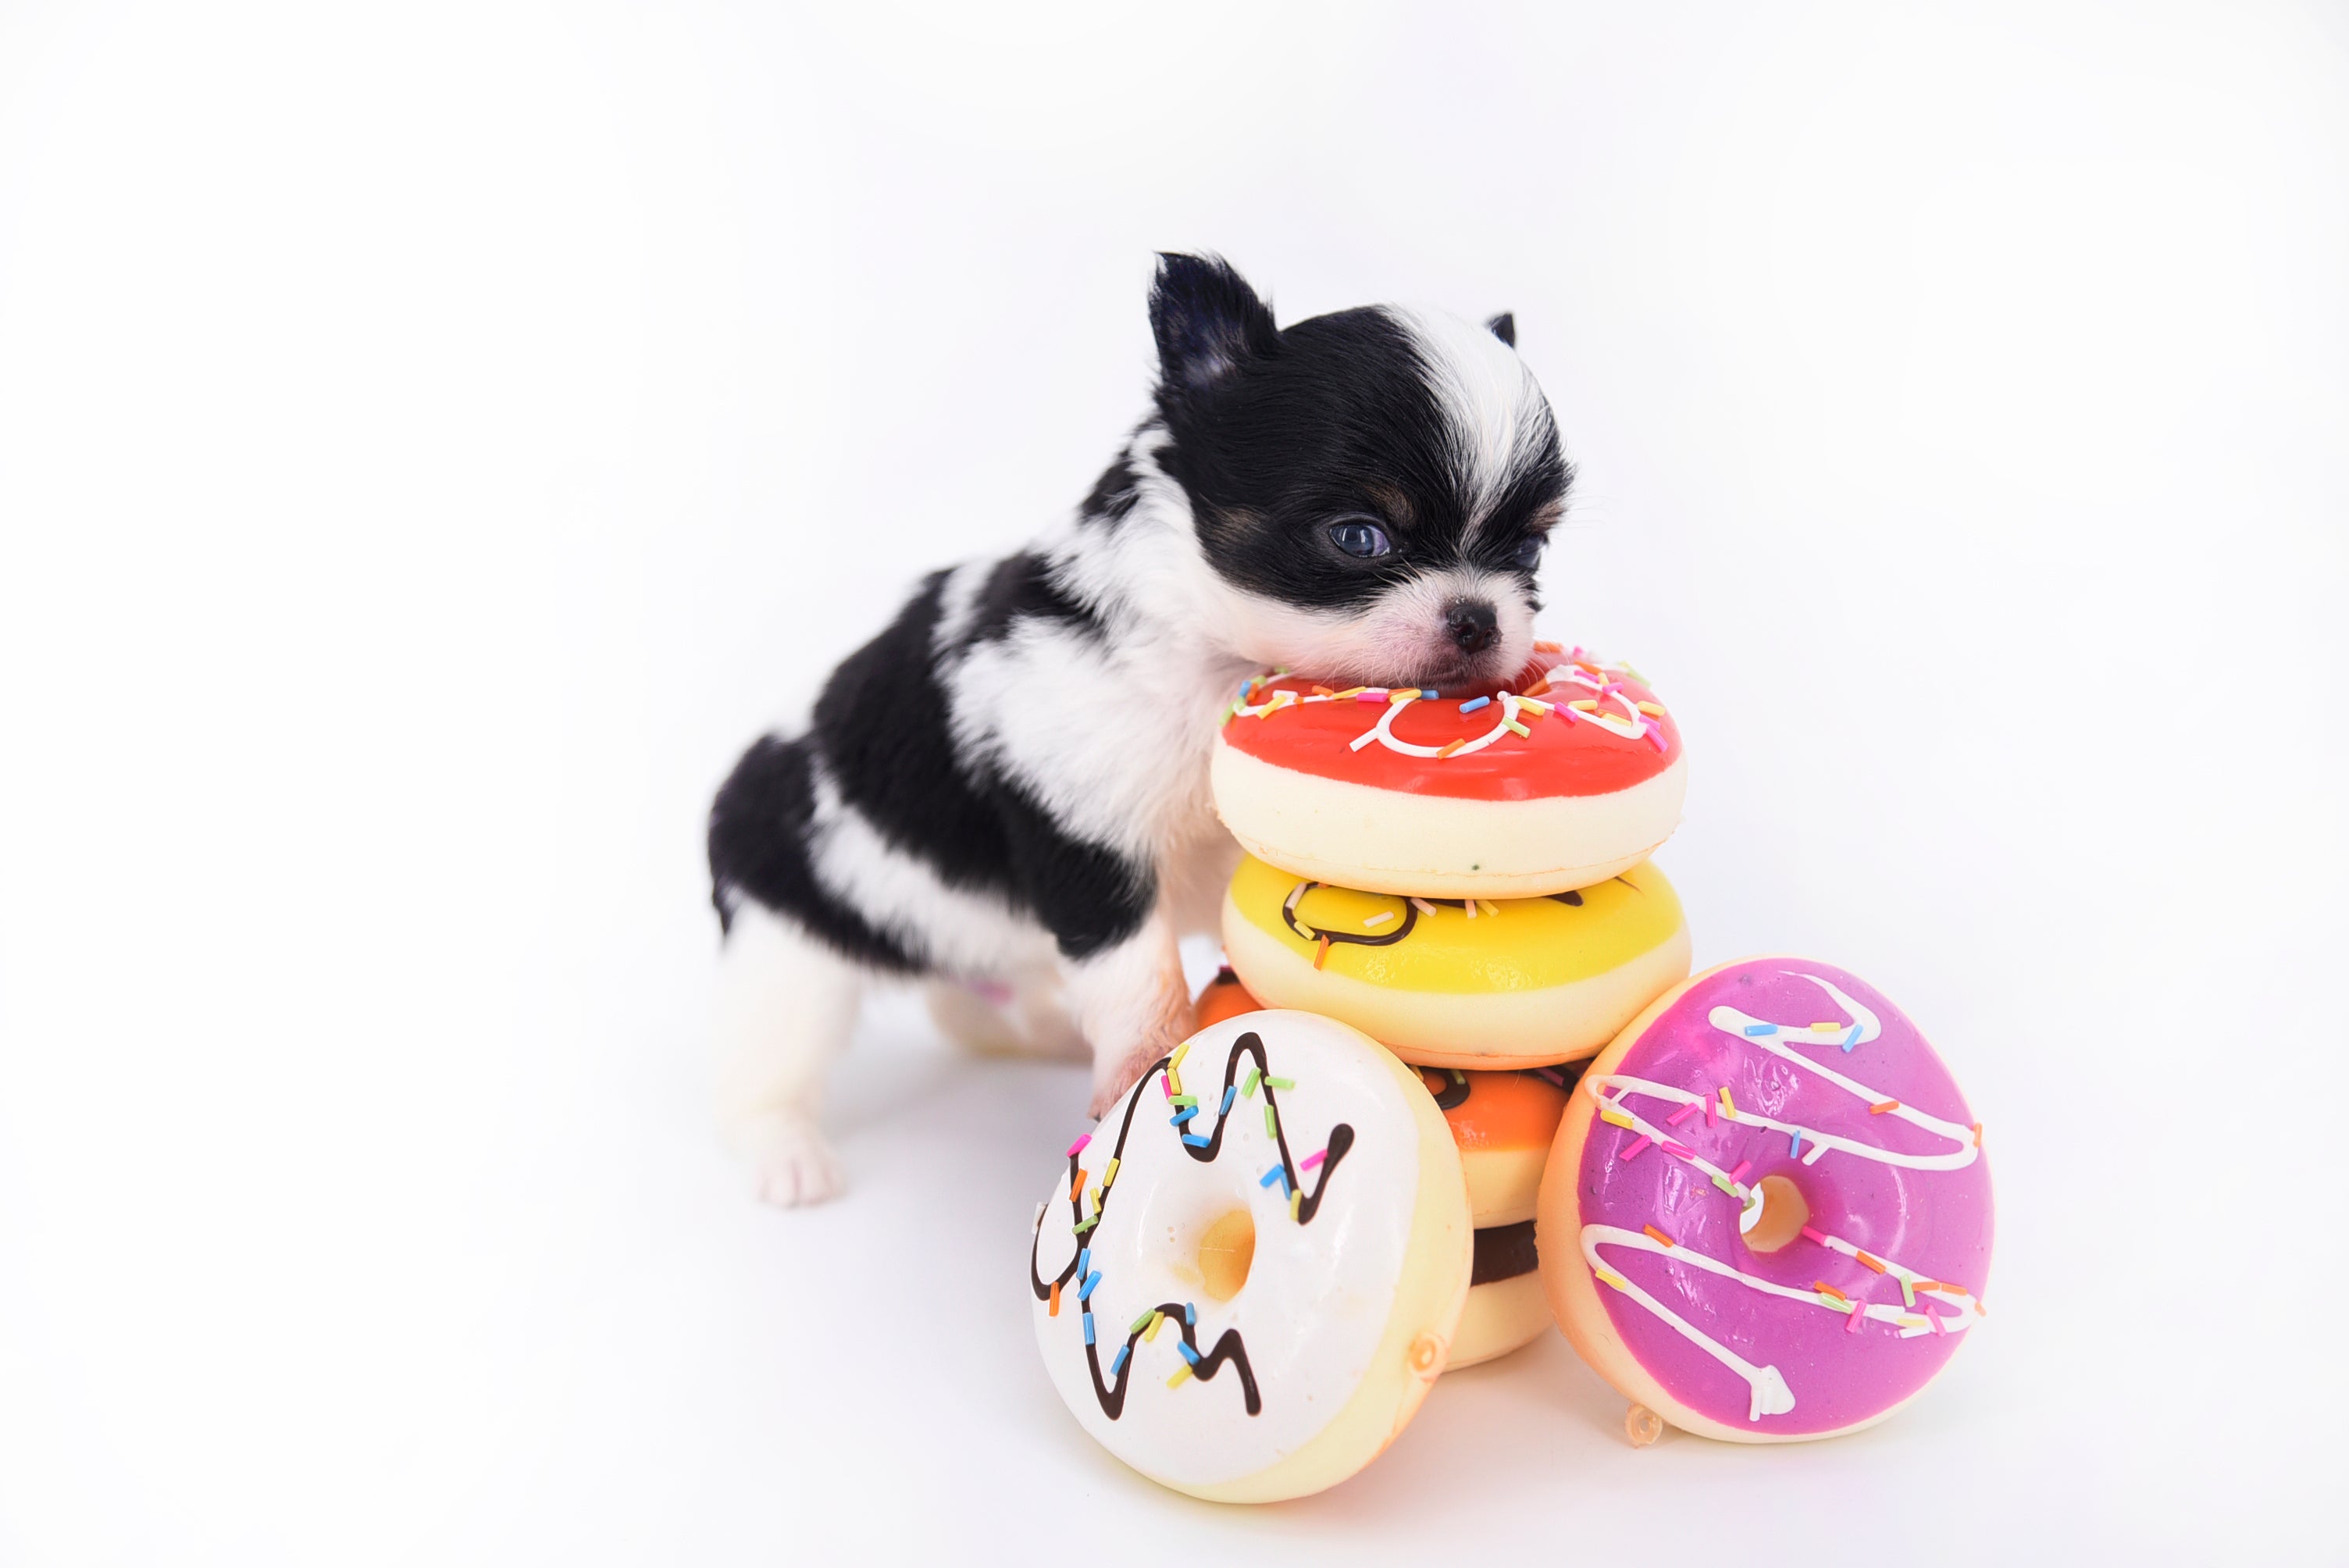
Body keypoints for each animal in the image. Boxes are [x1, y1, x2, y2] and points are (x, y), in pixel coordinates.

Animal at [707, 253, 1571, 1206]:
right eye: (1359, 537)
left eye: (1529, 552)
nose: (1477, 621)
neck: (1219, 660)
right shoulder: (1086, 832)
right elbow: (1134, 972)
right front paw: (1141, 1066)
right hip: (789, 954)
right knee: (765, 1062)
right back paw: (786, 1154)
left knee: (959, 1001)